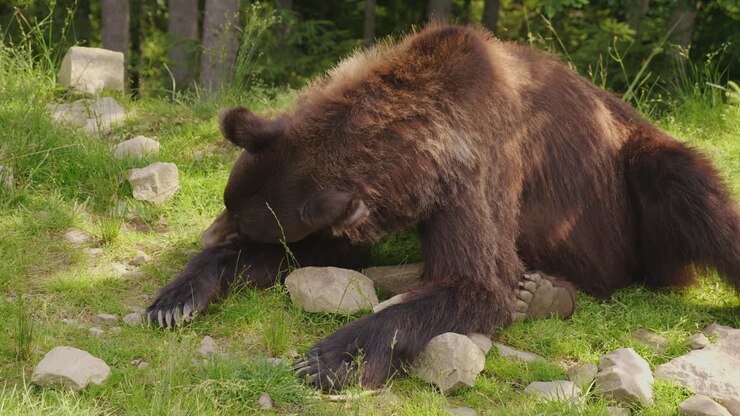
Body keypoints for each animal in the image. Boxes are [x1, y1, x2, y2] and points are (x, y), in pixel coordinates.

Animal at [147, 24, 740, 391]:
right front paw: (175, 299)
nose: (207, 234)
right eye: (232, 209)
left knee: (692, 192)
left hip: (636, 180)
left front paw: (325, 358)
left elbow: (476, 281)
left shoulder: (479, 170)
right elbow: (321, 255)